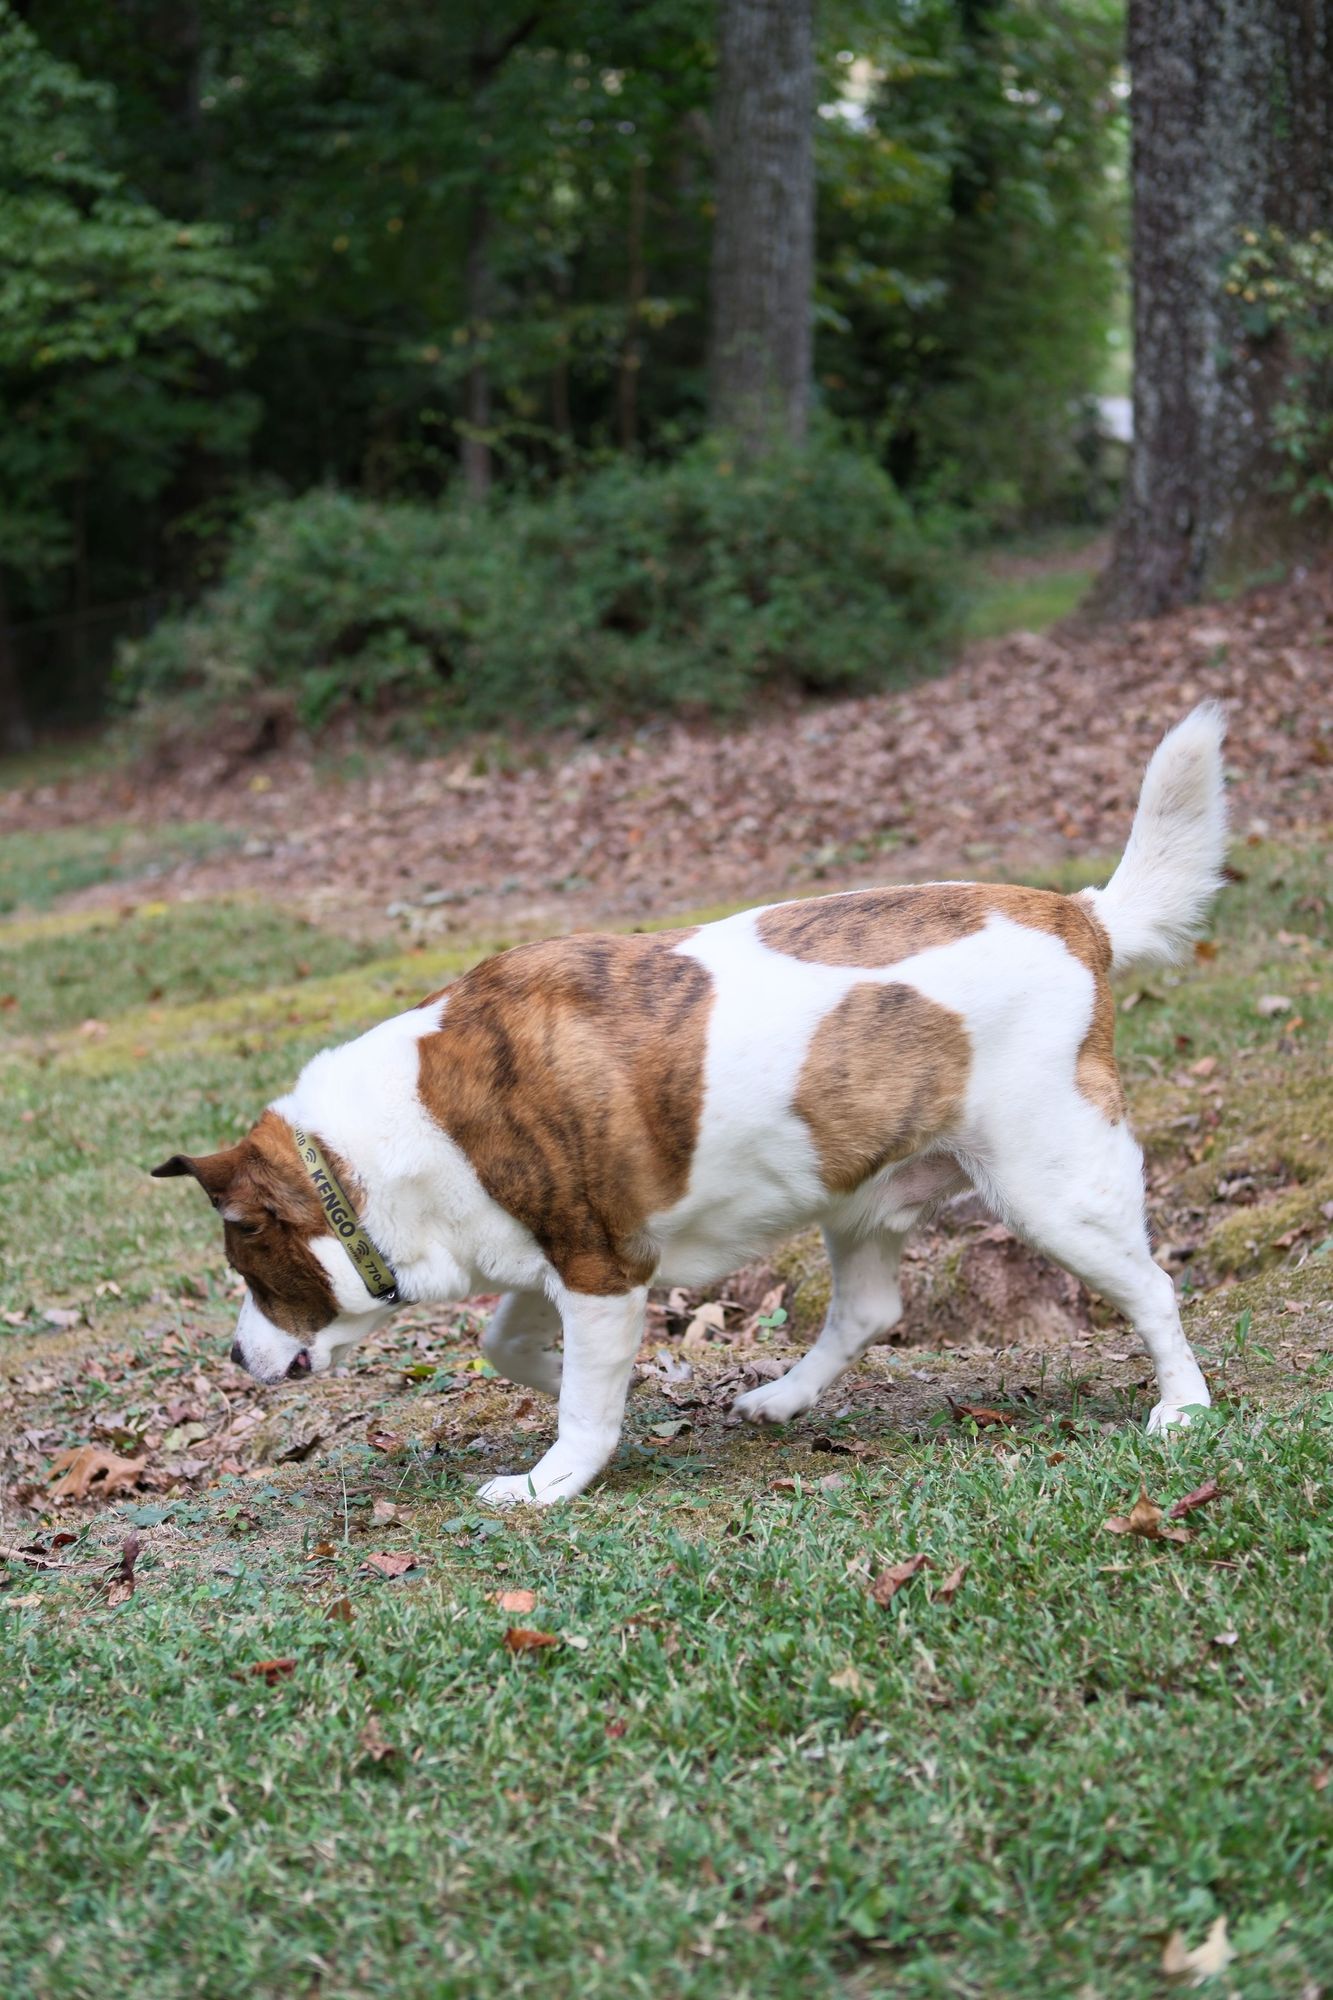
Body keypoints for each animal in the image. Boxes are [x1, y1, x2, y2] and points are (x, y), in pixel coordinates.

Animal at [153, 704, 1224, 1504]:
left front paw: (551, 1477)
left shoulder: (599, 1268)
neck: (377, 1149)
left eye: (250, 1273)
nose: (235, 1356)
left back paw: (1181, 1406)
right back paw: (783, 1399)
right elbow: (511, 1345)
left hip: (1052, 1189)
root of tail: (1078, 915)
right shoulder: (564, 1260)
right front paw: (579, 1389)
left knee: (1153, 1288)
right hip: (859, 1191)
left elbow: (581, 1405)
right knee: (870, 1310)